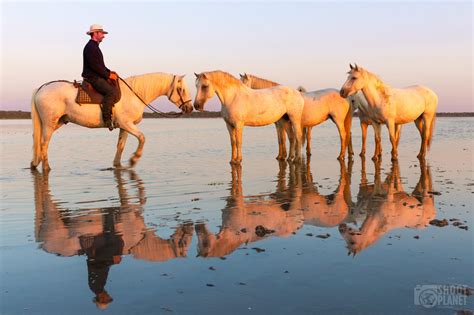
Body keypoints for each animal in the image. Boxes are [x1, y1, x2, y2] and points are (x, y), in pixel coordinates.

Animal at [30, 73, 193, 172]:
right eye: (180, 89)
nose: (190, 108)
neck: (133, 95)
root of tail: (41, 88)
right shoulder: (127, 124)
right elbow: (142, 138)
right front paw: (134, 159)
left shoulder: (124, 127)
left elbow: (120, 145)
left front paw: (117, 165)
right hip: (49, 123)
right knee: (44, 143)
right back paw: (46, 168)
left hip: (57, 122)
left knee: (40, 143)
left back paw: (35, 163)